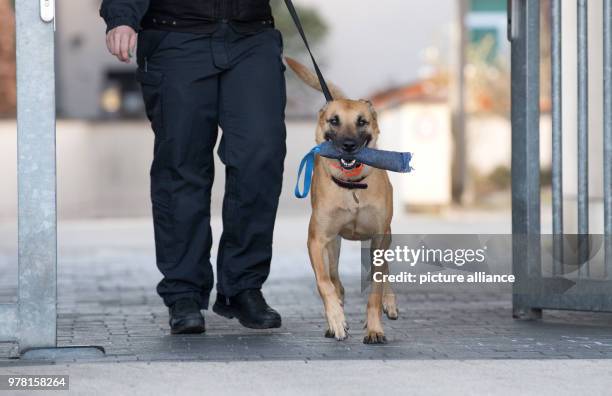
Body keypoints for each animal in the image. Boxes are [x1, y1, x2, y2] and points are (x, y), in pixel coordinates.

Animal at [286, 56, 396, 344]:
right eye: (334, 121)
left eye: (361, 122)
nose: (348, 145)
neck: (352, 186)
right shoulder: (317, 240)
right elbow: (325, 284)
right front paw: (336, 320)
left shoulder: (379, 237)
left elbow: (375, 289)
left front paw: (374, 329)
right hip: (333, 246)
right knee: (336, 282)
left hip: (384, 236)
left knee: (384, 272)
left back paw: (389, 302)